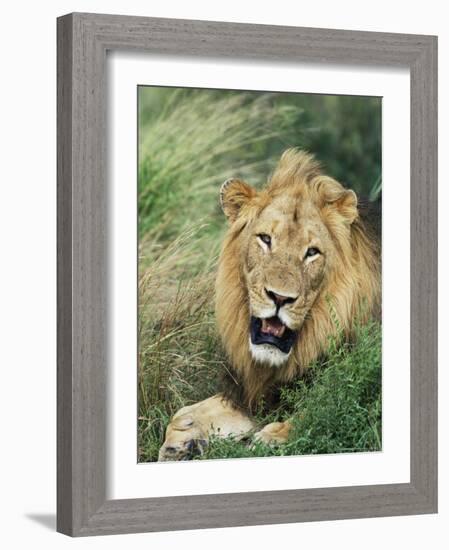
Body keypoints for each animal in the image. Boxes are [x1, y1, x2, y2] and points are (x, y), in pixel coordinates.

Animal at [158, 149, 378, 464]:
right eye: (265, 239)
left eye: (312, 252)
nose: (280, 298)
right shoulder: (258, 393)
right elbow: (182, 413)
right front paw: (183, 441)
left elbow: (320, 414)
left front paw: (271, 439)